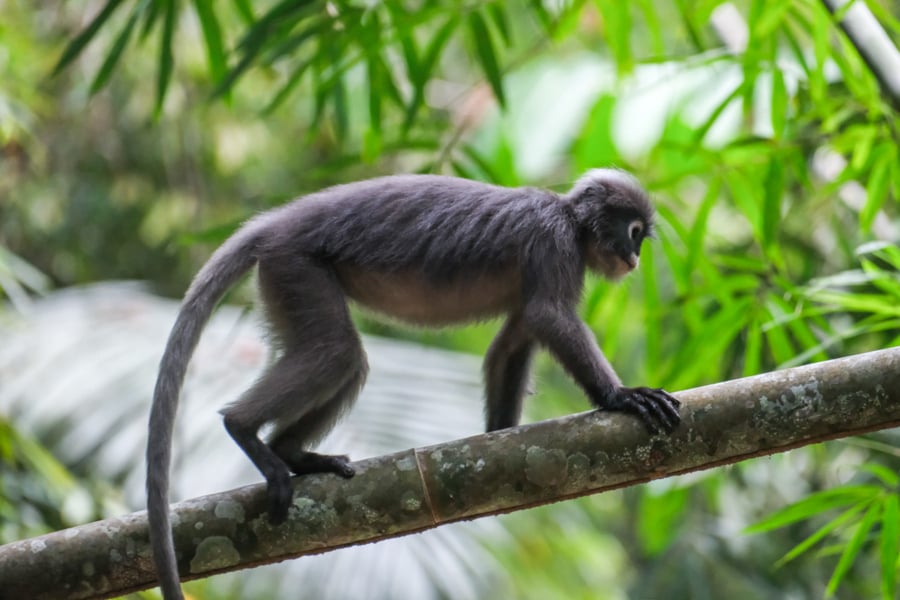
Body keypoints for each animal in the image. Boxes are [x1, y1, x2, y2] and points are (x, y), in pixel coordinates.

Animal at [149, 166, 684, 596]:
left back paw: (293, 453)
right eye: (634, 232)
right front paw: (621, 397)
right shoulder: (551, 241)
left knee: (347, 362)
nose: (634, 258)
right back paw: (244, 429)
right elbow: (549, 316)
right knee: (337, 353)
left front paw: (500, 438)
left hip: (281, 279)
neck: (571, 222)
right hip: (294, 264)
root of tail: (278, 221)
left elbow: (512, 342)